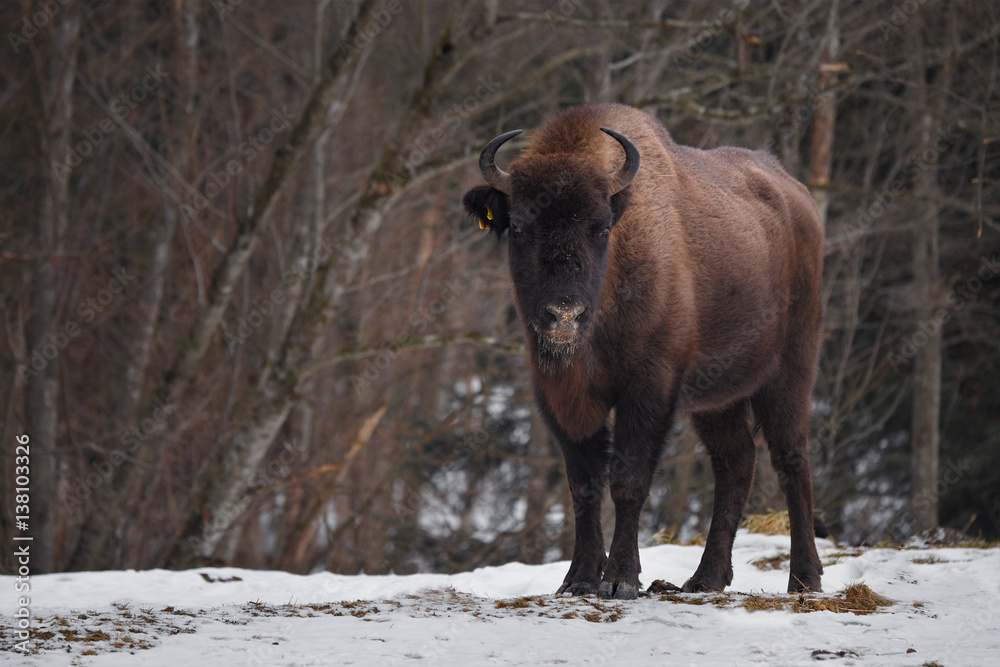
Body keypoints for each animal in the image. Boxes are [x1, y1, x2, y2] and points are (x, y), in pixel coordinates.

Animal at [463, 103, 824, 599]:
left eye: (600, 227)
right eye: (518, 225)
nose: (563, 315)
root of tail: (800, 199)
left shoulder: (651, 388)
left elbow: (628, 480)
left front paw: (619, 579)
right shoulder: (561, 397)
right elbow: (584, 484)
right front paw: (578, 578)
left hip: (789, 373)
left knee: (792, 461)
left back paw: (804, 578)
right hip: (718, 399)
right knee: (736, 463)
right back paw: (705, 578)